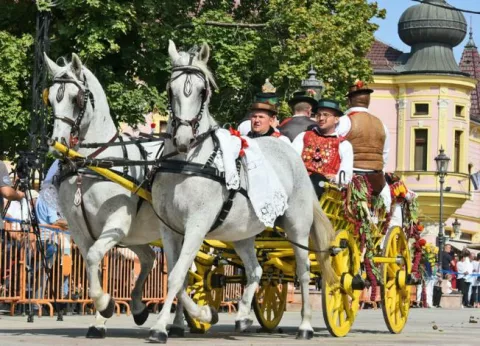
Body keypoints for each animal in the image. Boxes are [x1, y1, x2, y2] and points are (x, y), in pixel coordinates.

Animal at [44, 53, 188, 338]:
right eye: (51, 97)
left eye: (76, 99)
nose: (58, 143)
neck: (91, 165)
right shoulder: (80, 231)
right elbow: (93, 265)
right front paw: (100, 318)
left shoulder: (116, 224)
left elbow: (93, 258)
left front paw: (106, 306)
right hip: (139, 234)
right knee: (150, 258)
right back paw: (140, 308)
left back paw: (177, 322)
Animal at [148, 40, 336, 344]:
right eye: (170, 89)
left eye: (202, 91)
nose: (183, 139)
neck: (185, 164)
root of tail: (292, 154)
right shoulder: (169, 228)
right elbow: (179, 277)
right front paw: (196, 315)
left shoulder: (197, 225)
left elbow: (176, 276)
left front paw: (165, 325)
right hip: (243, 233)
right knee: (256, 270)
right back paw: (243, 316)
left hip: (297, 227)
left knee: (304, 272)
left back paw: (305, 326)